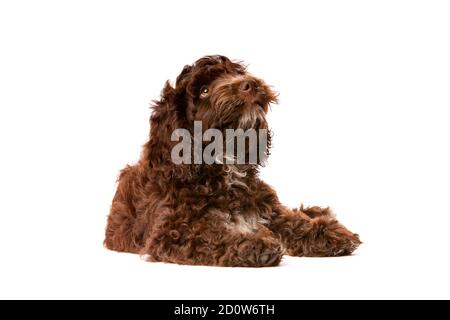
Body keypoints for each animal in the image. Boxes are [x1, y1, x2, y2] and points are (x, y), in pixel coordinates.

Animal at [103, 55, 360, 268]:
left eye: (235, 73)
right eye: (204, 90)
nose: (250, 84)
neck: (226, 165)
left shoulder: (269, 210)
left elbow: (294, 221)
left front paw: (329, 233)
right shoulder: (171, 232)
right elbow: (208, 236)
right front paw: (254, 244)